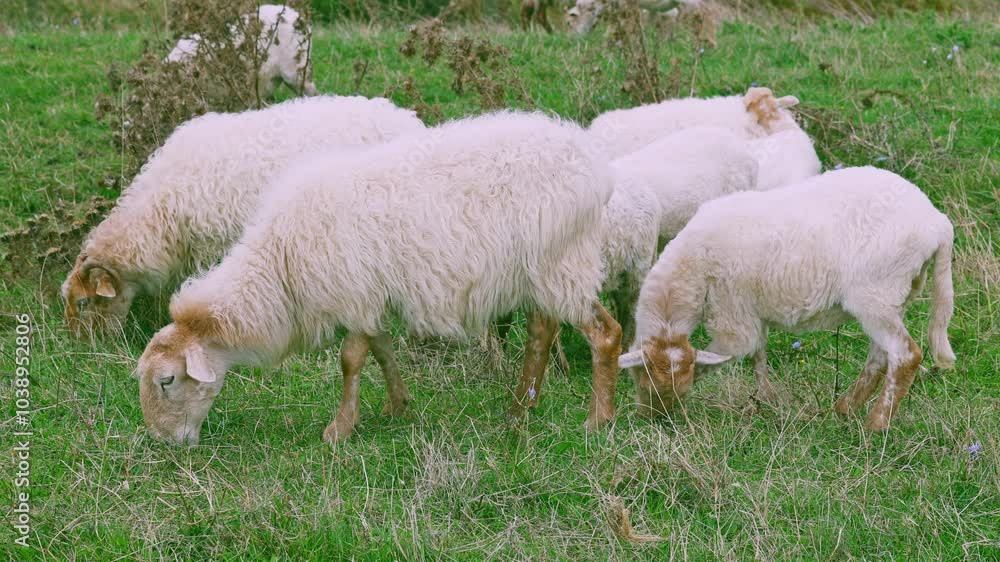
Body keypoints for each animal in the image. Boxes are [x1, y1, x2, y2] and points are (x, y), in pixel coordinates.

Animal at [135, 111, 623, 446]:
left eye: (167, 381)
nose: (166, 443)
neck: (280, 264)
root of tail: (594, 166)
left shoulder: (354, 292)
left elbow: (350, 360)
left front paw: (338, 428)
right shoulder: (371, 295)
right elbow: (382, 350)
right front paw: (397, 405)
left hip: (561, 261)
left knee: (605, 333)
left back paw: (597, 420)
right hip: (541, 268)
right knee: (542, 331)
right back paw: (520, 409)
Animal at [619, 166, 956, 431]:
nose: (657, 418)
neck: (692, 270)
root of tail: (937, 222)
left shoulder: (733, 316)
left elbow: (727, 355)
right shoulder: (750, 311)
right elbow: (758, 355)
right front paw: (767, 398)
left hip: (876, 293)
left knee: (905, 355)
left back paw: (876, 425)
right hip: (896, 295)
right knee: (881, 357)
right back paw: (844, 409)